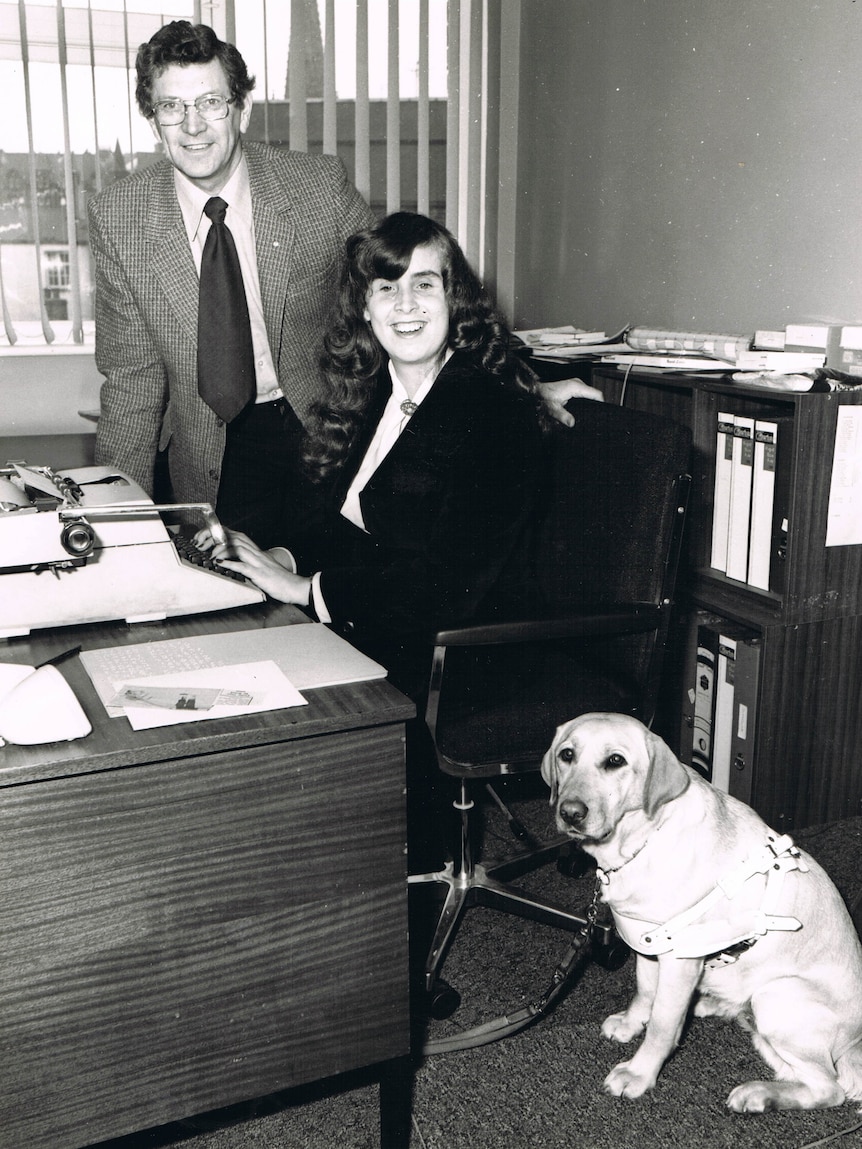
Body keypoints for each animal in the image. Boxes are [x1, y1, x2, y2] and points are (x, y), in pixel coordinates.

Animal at [542, 712, 862, 1107]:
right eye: (567, 755)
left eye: (615, 761)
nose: (570, 813)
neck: (644, 838)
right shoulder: (646, 943)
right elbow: (645, 992)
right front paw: (632, 1023)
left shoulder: (678, 959)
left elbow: (663, 1024)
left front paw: (639, 1073)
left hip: (777, 996)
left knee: (829, 1089)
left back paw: (758, 1094)